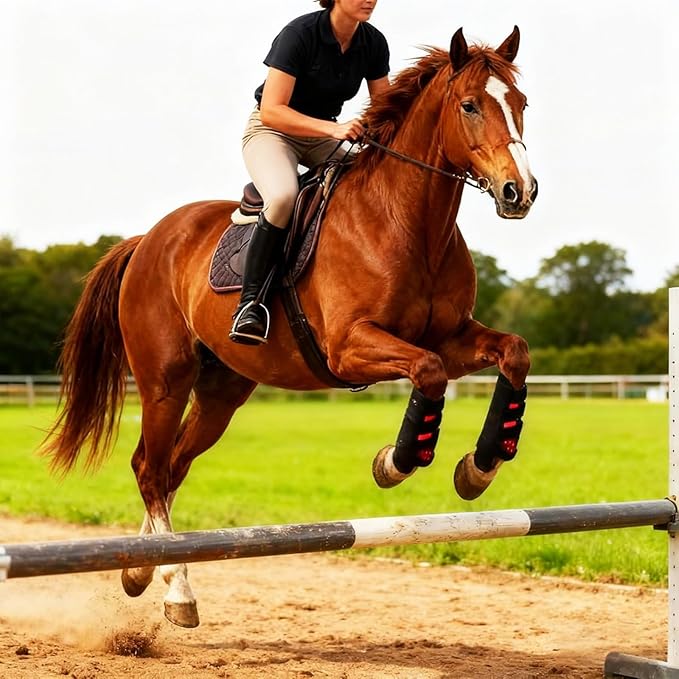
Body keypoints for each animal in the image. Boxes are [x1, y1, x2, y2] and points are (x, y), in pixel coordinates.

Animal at [41, 27, 537, 628]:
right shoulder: (351, 347)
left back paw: (141, 571)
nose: (519, 192)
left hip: (222, 391)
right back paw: (176, 588)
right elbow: (429, 372)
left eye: (521, 104)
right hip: (164, 380)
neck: (407, 221)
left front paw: (477, 469)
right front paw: (393, 464)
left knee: (173, 465)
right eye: (469, 106)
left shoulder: (453, 336)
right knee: (150, 468)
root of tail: (147, 240)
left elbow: (513, 352)